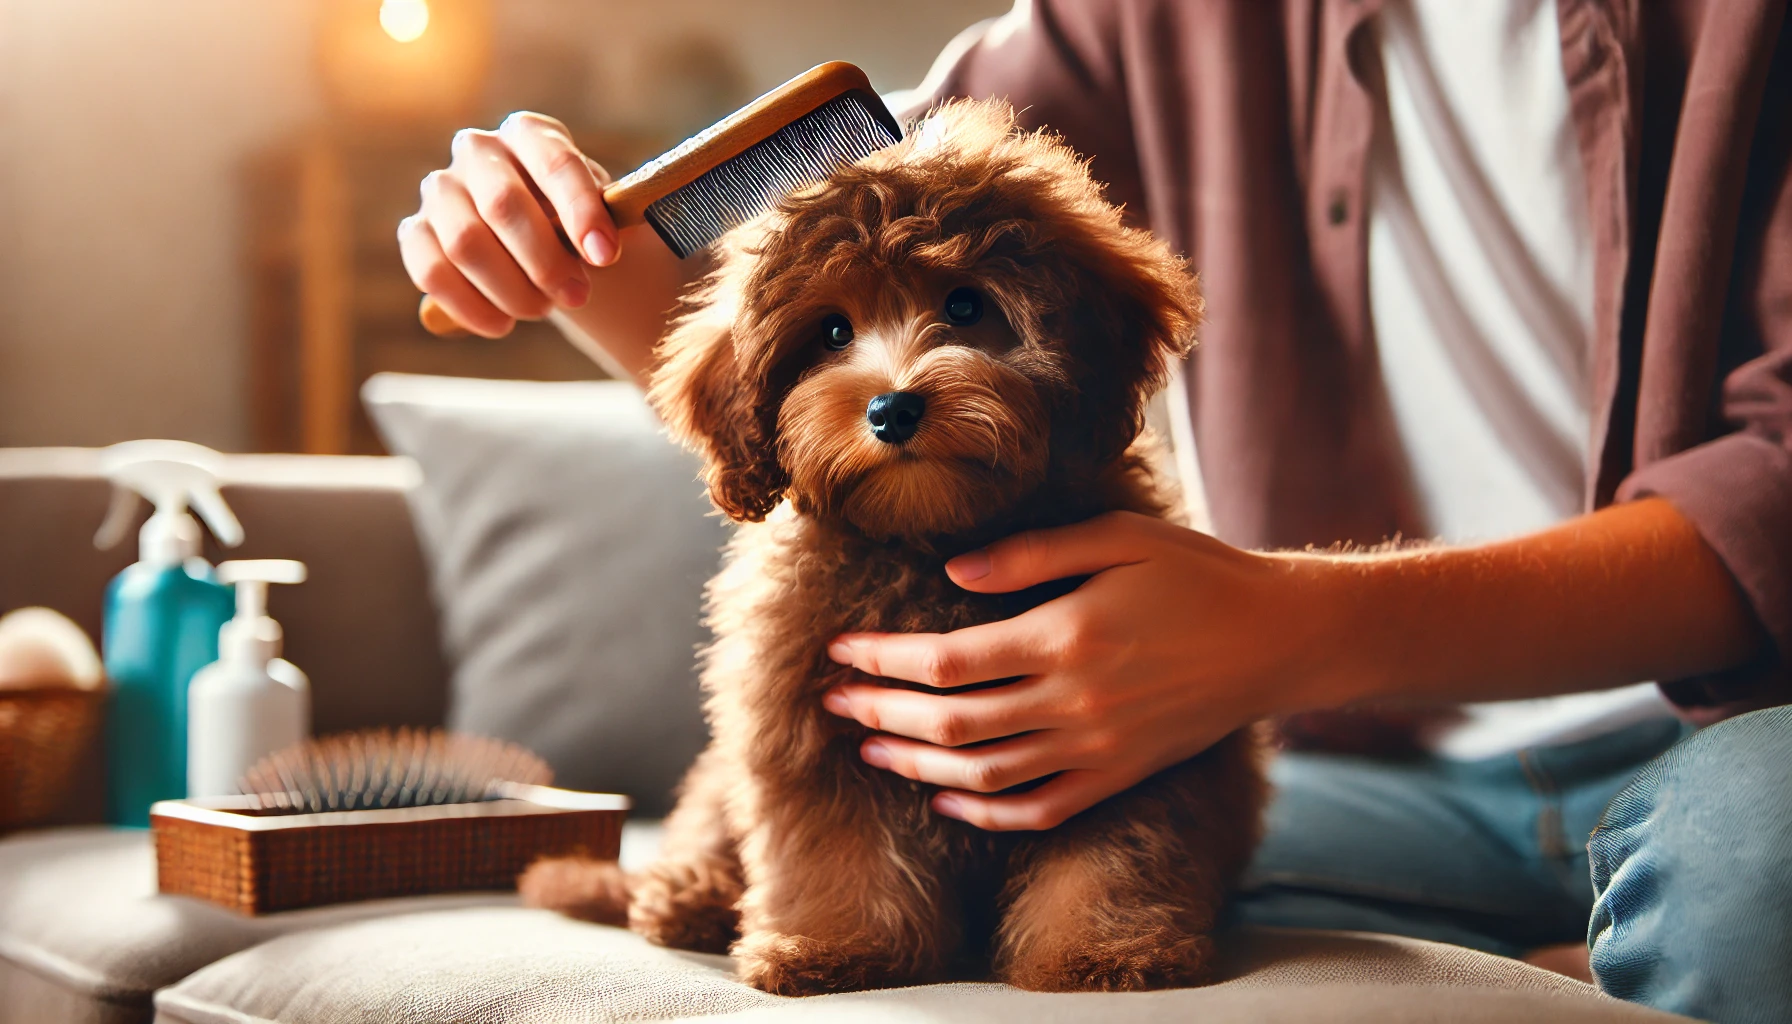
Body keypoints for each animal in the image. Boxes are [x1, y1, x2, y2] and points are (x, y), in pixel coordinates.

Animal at [523, 99, 1268, 997]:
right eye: (832, 330)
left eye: (967, 307)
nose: (892, 408)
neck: (930, 542)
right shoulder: (806, 727)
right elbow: (837, 850)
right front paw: (835, 945)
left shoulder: (1128, 734)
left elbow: (1115, 850)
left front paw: (1101, 951)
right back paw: (688, 897)